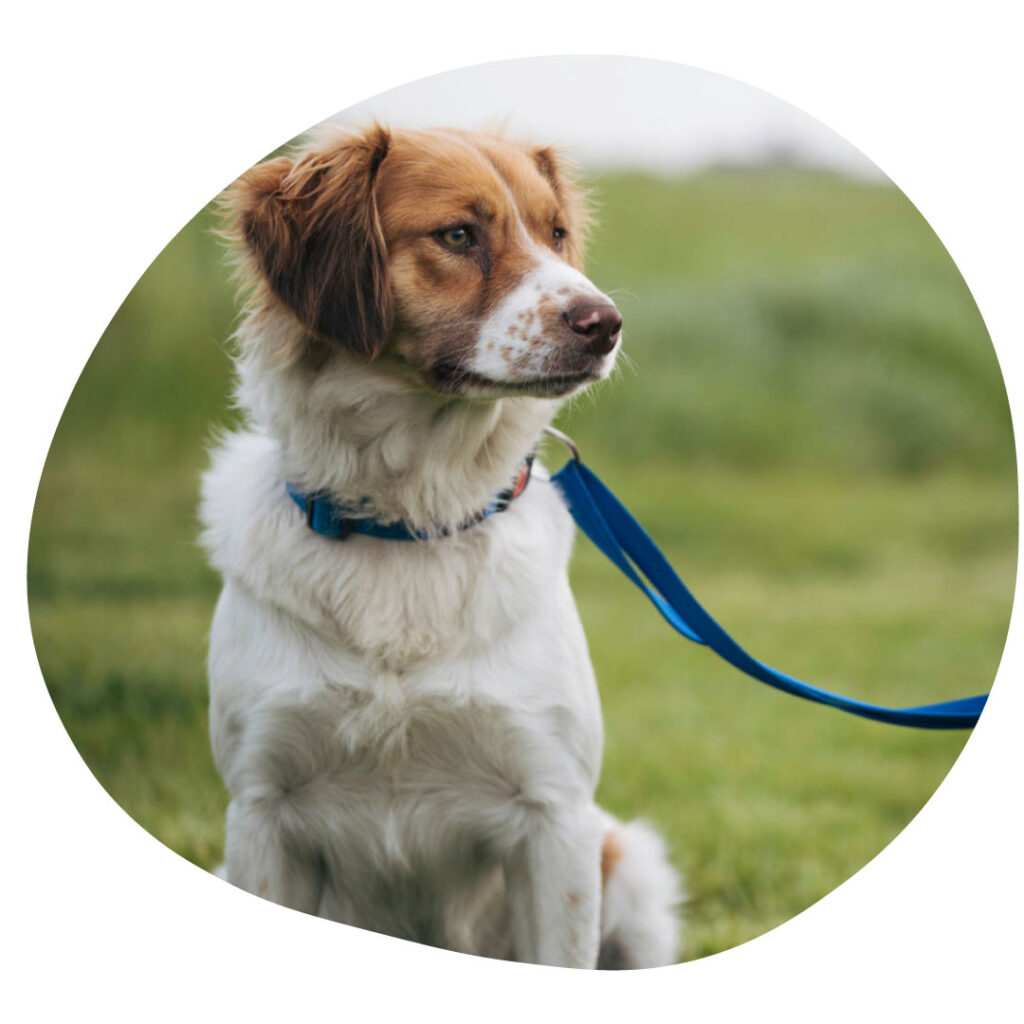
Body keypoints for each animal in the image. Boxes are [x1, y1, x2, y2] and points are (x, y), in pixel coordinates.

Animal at [199, 121, 679, 966]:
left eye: (556, 232)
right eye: (459, 235)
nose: (604, 324)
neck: (408, 520)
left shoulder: (556, 818)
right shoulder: (261, 809)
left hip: (631, 869)